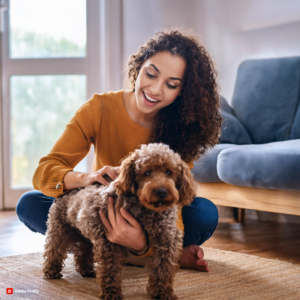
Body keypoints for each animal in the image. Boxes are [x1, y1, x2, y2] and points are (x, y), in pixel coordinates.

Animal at [42, 142, 197, 298]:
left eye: (169, 172)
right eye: (146, 172)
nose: (161, 192)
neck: (148, 212)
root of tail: (65, 192)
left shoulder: (167, 240)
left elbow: (163, 269)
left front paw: (163, 292)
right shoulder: (110, 241)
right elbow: (111, 269)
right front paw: (111, 292)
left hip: (86, 234)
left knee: (83, 251)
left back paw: (86, 270)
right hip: (60, 230)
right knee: (54, 249)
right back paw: (51, 271)